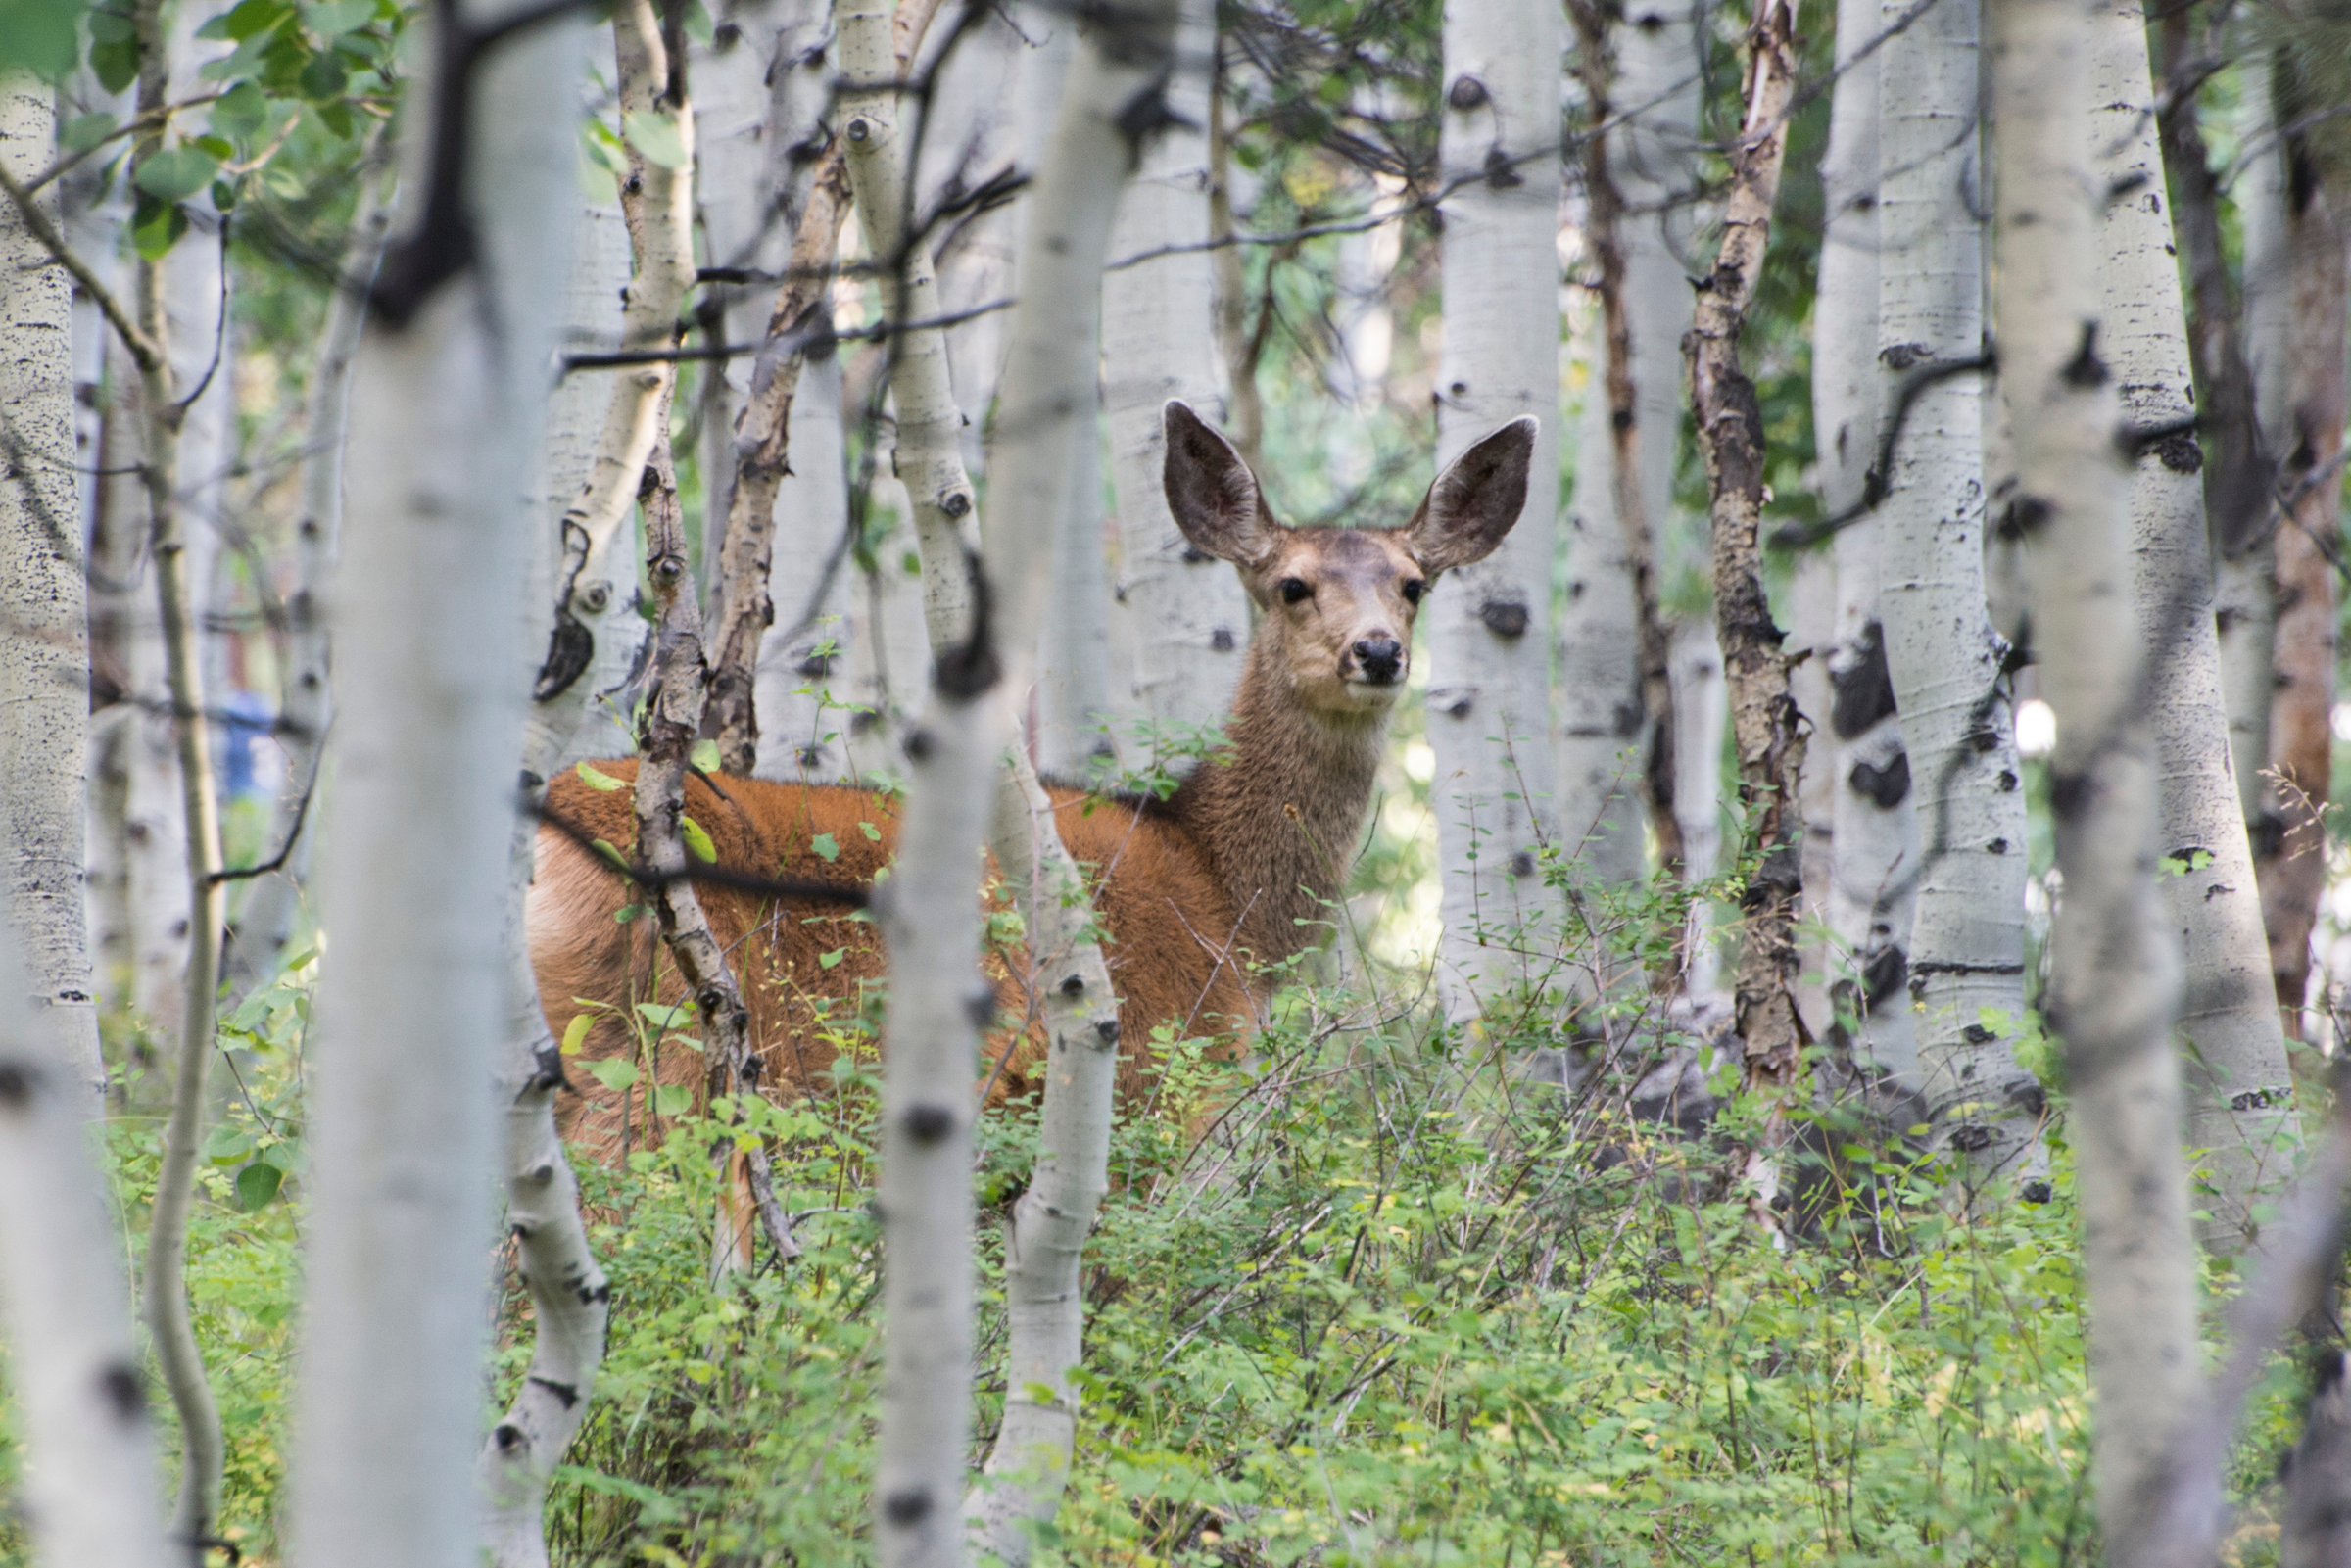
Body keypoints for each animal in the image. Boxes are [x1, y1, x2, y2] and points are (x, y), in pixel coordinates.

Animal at [529, 402, 1536, 1160]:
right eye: (1291, 585)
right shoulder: (1149, 1078)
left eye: (1412, 584)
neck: (1224, 900)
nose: (1379, 650)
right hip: (649, 1058)